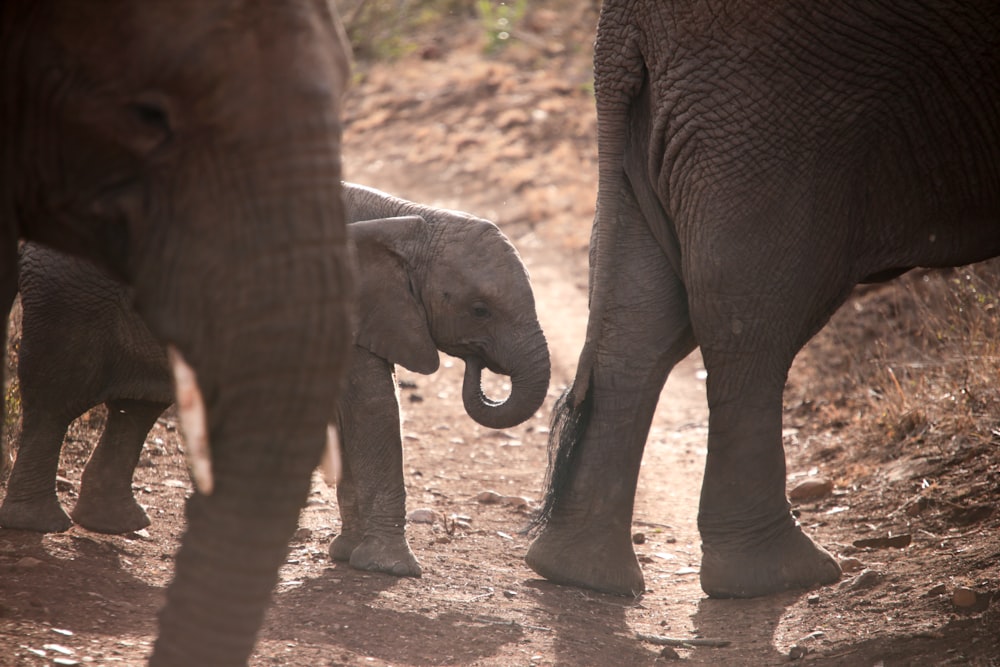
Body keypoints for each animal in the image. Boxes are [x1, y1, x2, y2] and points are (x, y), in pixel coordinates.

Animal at [0, 183, 552, 580]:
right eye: (479, 310)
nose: (478, 363)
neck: (413, 219)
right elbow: (372, 408)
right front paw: (393, 571)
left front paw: (346, 555)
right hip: (71, 301)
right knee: (55, 401)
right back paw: (39, 524)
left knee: (136, 406)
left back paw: (116, 524)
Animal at [528, 0, 996, 604]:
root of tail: (620, 25)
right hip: (775, 107)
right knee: (753, 310)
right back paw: (781, 578)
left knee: (645, 316)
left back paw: (579, 573)